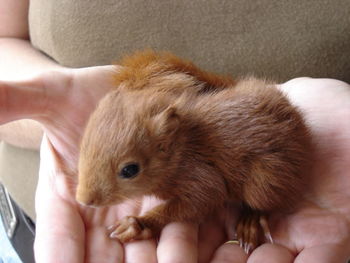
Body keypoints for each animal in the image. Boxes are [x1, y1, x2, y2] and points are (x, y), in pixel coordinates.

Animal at [76, 50, 312, 253]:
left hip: (266, 179)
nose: (83, 199)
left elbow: (200, 201)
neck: (180, 149)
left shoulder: (200, 176)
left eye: (130, 170)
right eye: (83, 147)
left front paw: (139, 225)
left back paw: (250, 220)